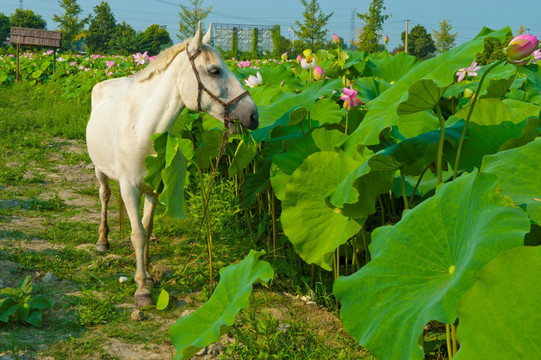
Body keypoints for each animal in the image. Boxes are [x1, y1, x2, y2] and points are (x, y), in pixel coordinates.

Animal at [85, 23, 258, 306]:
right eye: (214, 70)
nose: (253, 115)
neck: (142, 130)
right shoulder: (129, 188)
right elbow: (137, 234)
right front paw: (141, 289)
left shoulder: (155, 188)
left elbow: (147, 229)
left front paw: (148, 276)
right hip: (100, 170)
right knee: (104, 196)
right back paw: (102, 240)